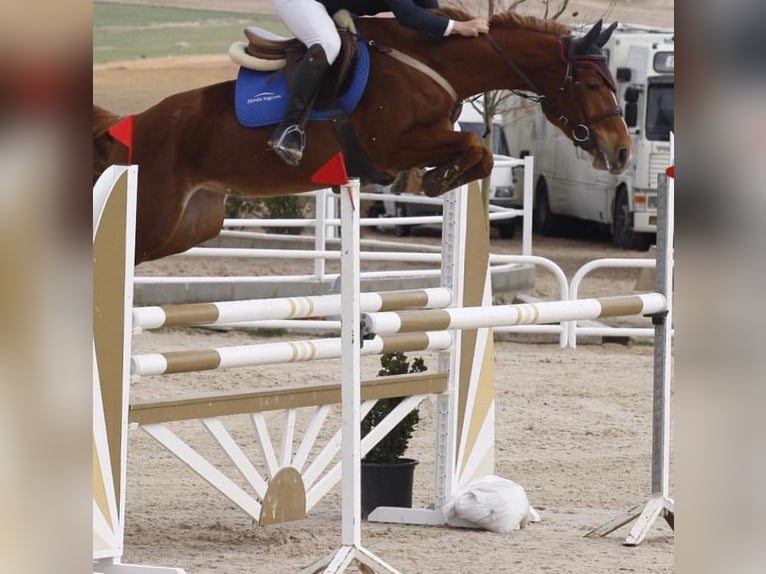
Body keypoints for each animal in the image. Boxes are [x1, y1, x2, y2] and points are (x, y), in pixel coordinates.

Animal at [93, 9, 631, 264]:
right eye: (590, 84)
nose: (621, 151)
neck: (433, 64)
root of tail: (134, 123)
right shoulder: (392, 146)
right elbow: (476, 145)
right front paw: (436, 180)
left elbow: (476, 153)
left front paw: (436, 181)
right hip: (154, 218)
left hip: (189, 226)